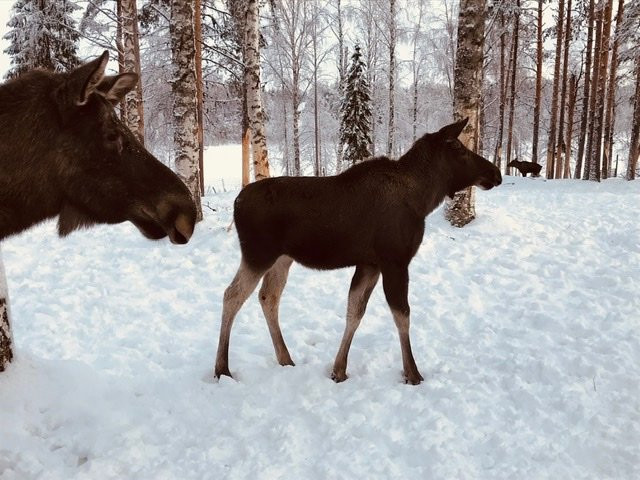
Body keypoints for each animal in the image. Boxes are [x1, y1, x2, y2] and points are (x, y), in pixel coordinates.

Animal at [215, 119, 500, 386]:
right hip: (258, 253)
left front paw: (339, 369)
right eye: (459, 148)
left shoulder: (369, 263)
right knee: (232, 295)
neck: (423, 200)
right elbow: (402, 314)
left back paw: (285, 358)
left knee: (268, 297)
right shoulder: (395, 260)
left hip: (282, 258)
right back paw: (222, 368)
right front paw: (412, 373)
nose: (495, 172)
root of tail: (236, 203)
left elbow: (355, 312)